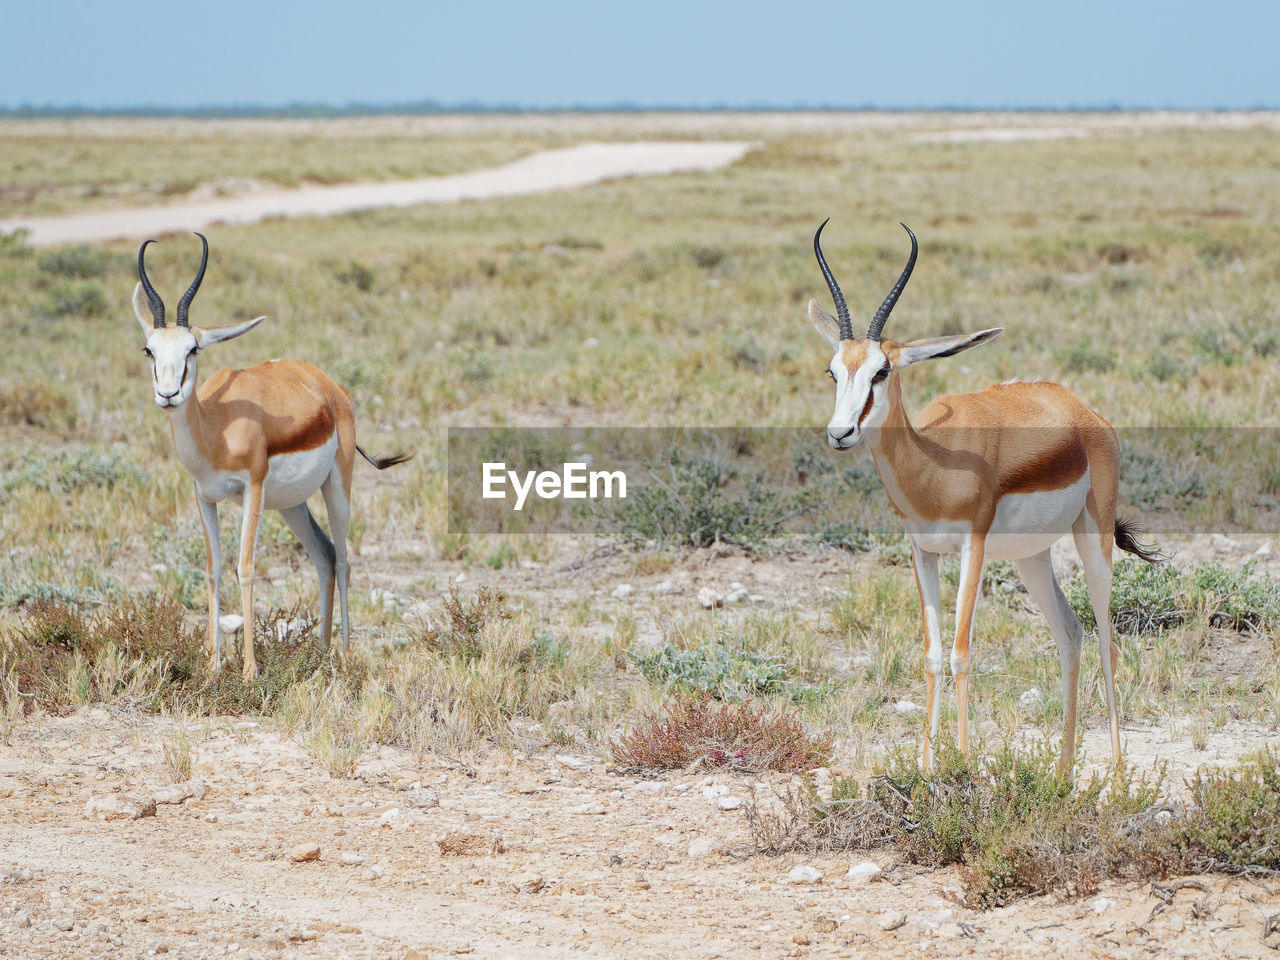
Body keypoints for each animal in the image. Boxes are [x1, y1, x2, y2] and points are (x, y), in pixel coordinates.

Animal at [135, 235, 407, 686]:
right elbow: (213, 568)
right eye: (149, 350)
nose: (168, 394)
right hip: (291, 504)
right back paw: (321, 653)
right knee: (324, 554)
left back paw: (345, 655)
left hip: (336, 486)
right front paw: (212, 666)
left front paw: (248, 671)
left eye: (193, 348)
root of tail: (327, 385)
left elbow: (245, 567)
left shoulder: (253, 488)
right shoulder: (203, 496)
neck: (216, 428)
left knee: (344, 558)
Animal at [808, 220, 1162, 773]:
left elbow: (960, 652)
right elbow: (933, 655)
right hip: (1031, 557)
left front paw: (963, 765)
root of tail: (1082, 410)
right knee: (1070, 633)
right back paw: (1063, 772)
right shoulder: (923, 551)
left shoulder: (972, 545)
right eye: (833, 370)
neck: (935, 465)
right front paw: (926, 770)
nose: (840, 433)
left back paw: (1121, 776)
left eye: (881, 371)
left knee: (1106, 638)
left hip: (1093, 538)